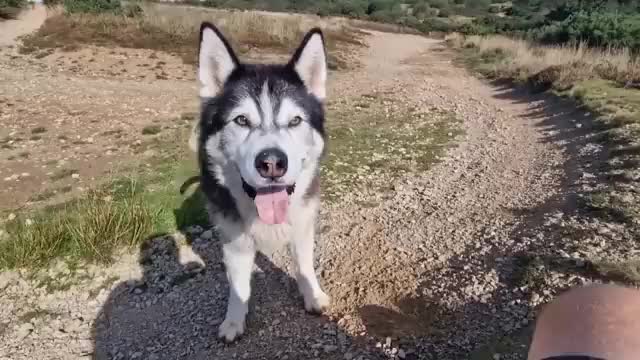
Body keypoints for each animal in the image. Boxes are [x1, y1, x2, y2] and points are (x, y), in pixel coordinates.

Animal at [195, 23, 330, 344]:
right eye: (242, 120)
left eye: (295, 121)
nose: (271, 163)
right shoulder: (235, 239)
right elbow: (238, 285)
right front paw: (234, 320)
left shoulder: (303, 225)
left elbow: (304, 265)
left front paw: (313, 296)